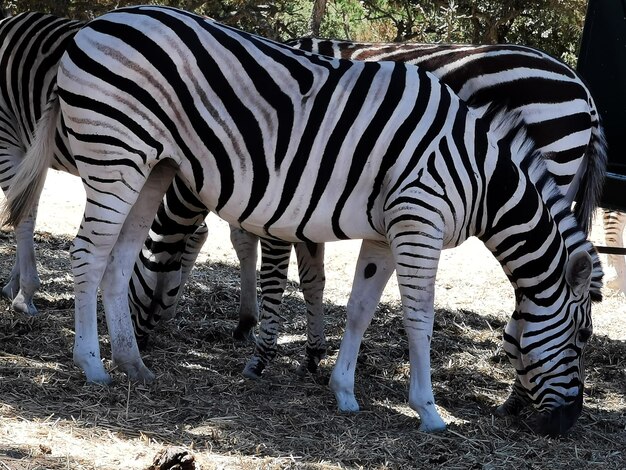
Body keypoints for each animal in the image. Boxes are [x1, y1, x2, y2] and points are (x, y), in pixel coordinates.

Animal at [2, 5, 604, 436]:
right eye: (579, 339)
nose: (566, 426)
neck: (478, 171)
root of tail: (94, 27)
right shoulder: (418, 221)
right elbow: (418, 319)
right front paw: (428, 411)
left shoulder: (385, 233)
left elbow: (359, 309)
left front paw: (342, 390)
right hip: (115, 152)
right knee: (88, 252)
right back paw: (91, 364)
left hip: (153, 164)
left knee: (119, 255)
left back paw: (131, 363)